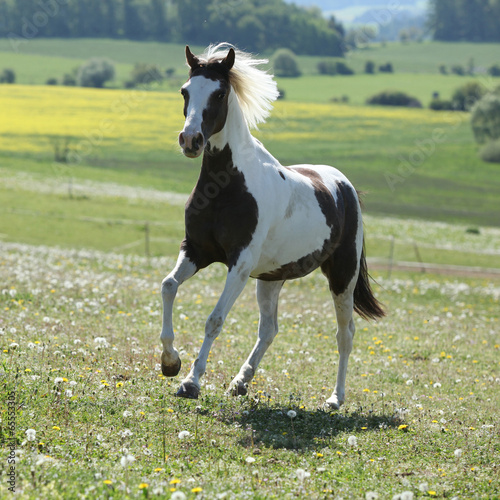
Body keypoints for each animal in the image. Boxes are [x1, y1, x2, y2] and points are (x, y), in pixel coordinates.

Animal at [160, 44, 382, 410]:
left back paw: (335, 399)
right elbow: (168, 286)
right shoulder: (195, 251)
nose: (190, 140)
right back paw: (240, 382)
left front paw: (190, 382)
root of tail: (345, 186)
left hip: (342, 276)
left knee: (344, 333)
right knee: (269, 329)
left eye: (219, 93)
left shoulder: (239, 264)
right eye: (185, 91)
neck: (226, 186)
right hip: (270, 279)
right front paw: (170, 362)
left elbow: (214, 320)